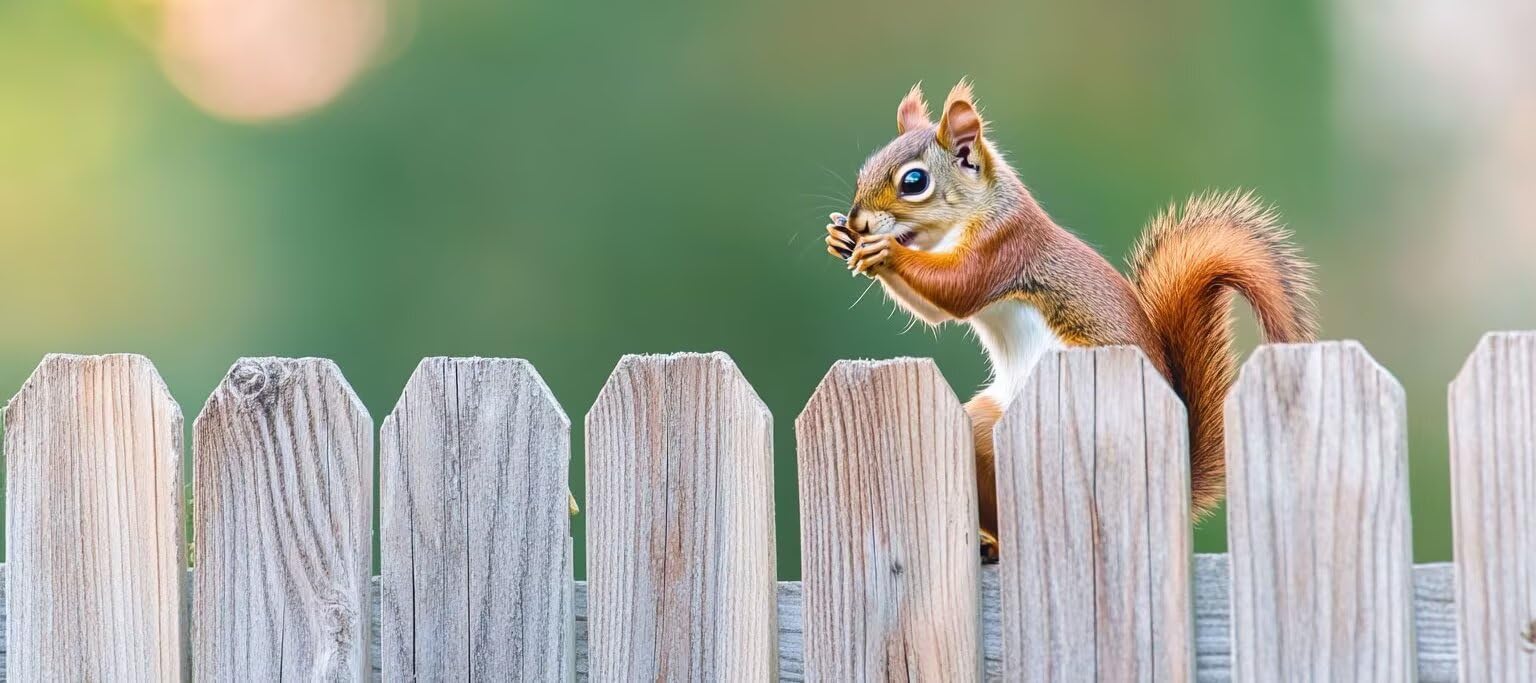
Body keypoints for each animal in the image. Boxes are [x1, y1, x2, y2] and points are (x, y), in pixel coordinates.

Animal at [824, 80, 1316, 561]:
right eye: (866, 168)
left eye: (914, 181)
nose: (858, 221)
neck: (979, 210)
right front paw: (839, 237)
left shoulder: (1003, 248)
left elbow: (955, 290)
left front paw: (886, 251)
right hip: (986, 423)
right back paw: (989, 545)